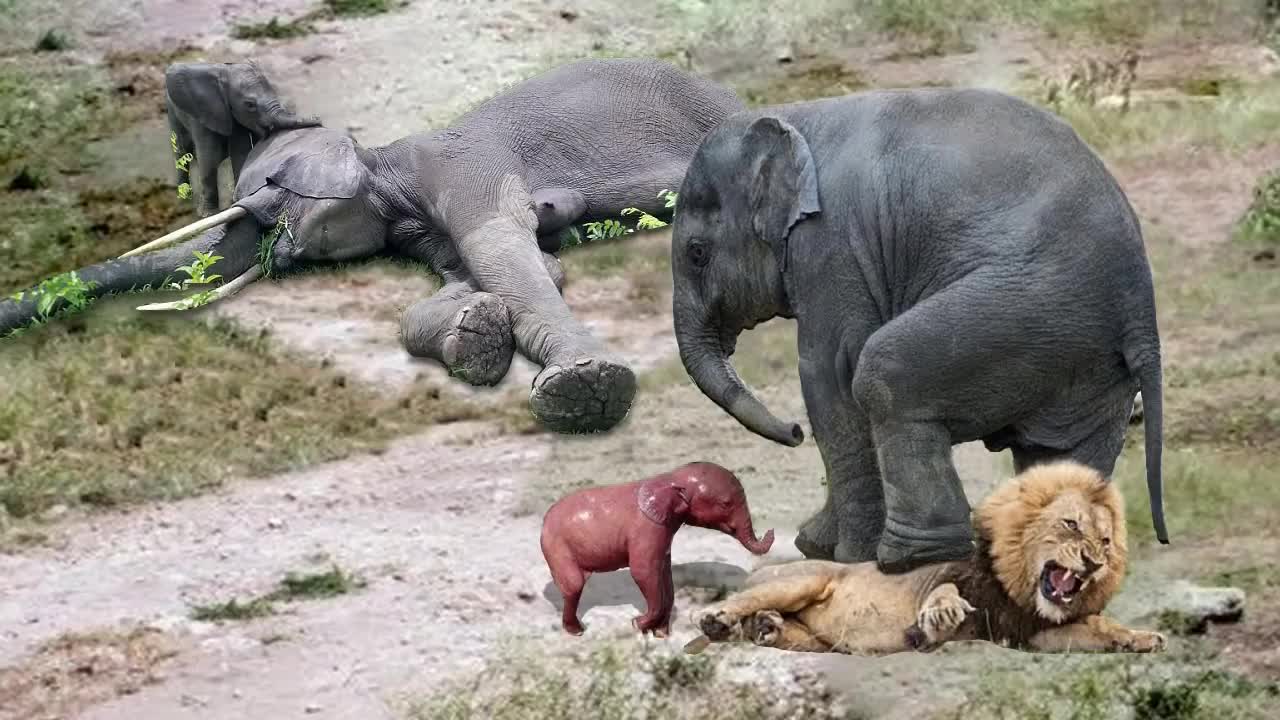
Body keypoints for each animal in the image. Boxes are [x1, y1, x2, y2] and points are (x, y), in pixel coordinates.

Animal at [166, 60, 322, 215]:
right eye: (250, 105)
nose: (317, 119)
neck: (225, 72)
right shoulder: (203, 112)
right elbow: (209, 158)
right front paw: (210, 214)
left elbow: (240, 152)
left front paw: (237, 201)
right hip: (173, 113)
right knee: (181, 151)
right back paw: (184, 200)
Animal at [537, 458, 773, 632]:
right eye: (726, 504)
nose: (770, 531)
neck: (672, 477)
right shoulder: (647, 528)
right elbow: (643, 572)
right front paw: (638, 624)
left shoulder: (663, 531)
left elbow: (663, 573)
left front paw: (659, 634)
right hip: (556, 546)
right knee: (574, 584)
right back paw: (578, 631)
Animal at [670, 88, 1172, 571]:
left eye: (697, 254)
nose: (792, 432)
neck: (796, 117)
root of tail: (1141, 310)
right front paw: (819, 545)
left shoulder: (832, 247)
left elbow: (828, 374)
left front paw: (839, 553)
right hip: (1087, 356)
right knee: (1058, 453)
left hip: (1026, 310)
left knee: (883, 376)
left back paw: (908, 557)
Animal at [691, 461, 1172, 653]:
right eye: (1071, 524)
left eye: (1106, 542)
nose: (1094, 563)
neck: (1017, 588)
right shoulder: (947, 576)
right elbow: (944, 590)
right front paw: (940, 617)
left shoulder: (1029, 634)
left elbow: (1100, 628)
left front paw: (1141, 637)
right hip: (799, 580)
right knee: (740, 603)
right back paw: (721, 620)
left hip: (822, 638)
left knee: (790, 632)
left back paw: (766, 628)